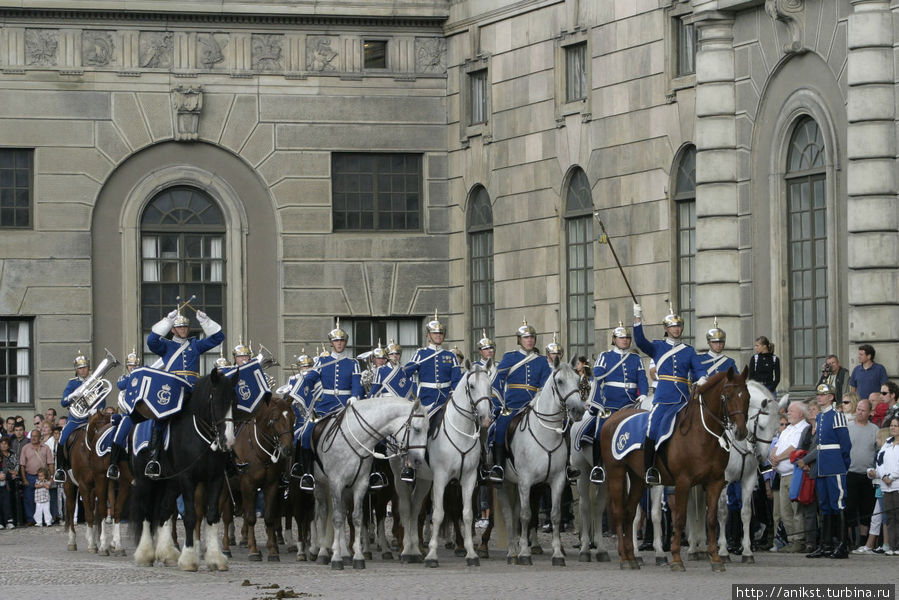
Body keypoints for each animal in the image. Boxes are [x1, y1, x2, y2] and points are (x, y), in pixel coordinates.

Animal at [129, 368, 243, 568]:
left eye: (234, 402)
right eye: (216, 402)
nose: (228, 441)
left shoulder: (216, 479)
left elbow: (212, 516)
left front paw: (215, 557)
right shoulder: (188, 478)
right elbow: (190, 516)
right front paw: (189, 558)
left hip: (170, 482)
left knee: (164, 510)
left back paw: (167, 553)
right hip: (146, 481)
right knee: (146, 513)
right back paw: (145, 554)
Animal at [312, 396, 428, 568]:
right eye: (417, 429)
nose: (419, 461)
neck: (355, 439)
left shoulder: (360, 484)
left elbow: (357, 517)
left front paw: (358, 557)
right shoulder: (335, 483)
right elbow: (337, 518)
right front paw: (336, 559)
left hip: (347, 491)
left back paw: (345, 554)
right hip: (321, 485)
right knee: (323, 513)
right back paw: (323, 553)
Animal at [392, 360, 492, 568]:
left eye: (490, 386)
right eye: (472, 386)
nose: (486, 419)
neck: (461, 432)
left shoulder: (469, 479)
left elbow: (467, 514)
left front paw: (471, 554)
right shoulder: (440, 478)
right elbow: (438, 514)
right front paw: (432, 555)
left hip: (424, 480)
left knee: (416, 508)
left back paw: (415, 550)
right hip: (400, 477)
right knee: (405, 508)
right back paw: (406, 551)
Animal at [492, 356, 584, 568]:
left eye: (578, 380)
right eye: (560, 381)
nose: (578, 410)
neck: (546, 433)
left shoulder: (557, 480)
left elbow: (555, 515)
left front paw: (557, 554)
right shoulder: (525, 481)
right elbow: (525, 515)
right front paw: (525, 554)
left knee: (521, 512)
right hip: (505, 483)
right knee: (510, 514)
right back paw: (513, 552)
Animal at [604, 366, 752, 572]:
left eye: (747, 397)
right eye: (728, 397)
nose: (741, 432)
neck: (702, 434)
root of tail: (615, 416)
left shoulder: (715, 482)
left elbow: (711, 519)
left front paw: (716, 559)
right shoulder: (683, 482)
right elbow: (680, 518)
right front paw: (676, 558)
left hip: (637, 479)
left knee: (630, 512)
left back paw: (632, 557)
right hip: (616, 473)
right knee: (619, 512)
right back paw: (625, 558)